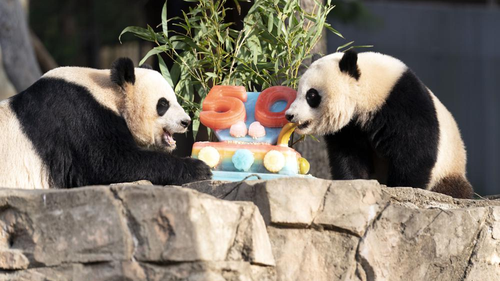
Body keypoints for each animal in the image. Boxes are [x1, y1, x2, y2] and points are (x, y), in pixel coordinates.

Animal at [0, 57, 211, 189]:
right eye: (163, 104)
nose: (185, 122)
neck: (107, 92)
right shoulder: (78, 117)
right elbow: (110, 163)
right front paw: (198, 168)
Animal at [286, 50, 472, 199]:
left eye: (311, 95)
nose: (290, 115)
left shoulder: (404, 103)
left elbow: (415, 152)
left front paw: (402, 187)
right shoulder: (350, 128)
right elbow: (349, 154)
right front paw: (353, 182)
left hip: (449, 168)